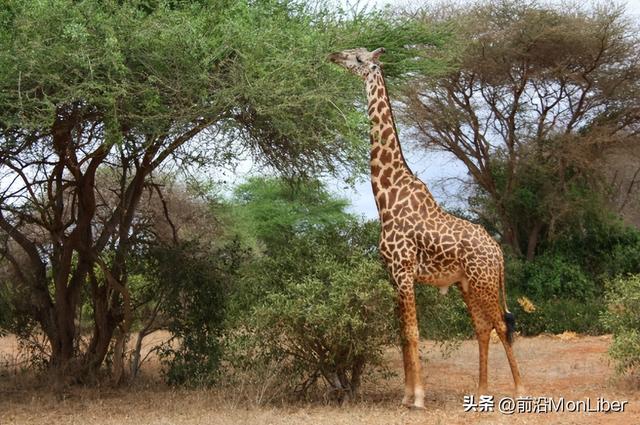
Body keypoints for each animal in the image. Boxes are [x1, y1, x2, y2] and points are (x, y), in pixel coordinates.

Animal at [330, 48, 524, 410]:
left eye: (359, 59)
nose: (334, 55)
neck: (386, 197)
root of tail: (498, 251)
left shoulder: (404, 270)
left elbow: (412, 332)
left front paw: (418, 398)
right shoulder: (392, 274)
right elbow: (401, 335)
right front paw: (406, 395)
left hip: (484, 281)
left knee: (502, 325)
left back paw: (520, 390)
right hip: (468, 284)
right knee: (482, 328)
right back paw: (480, 391)